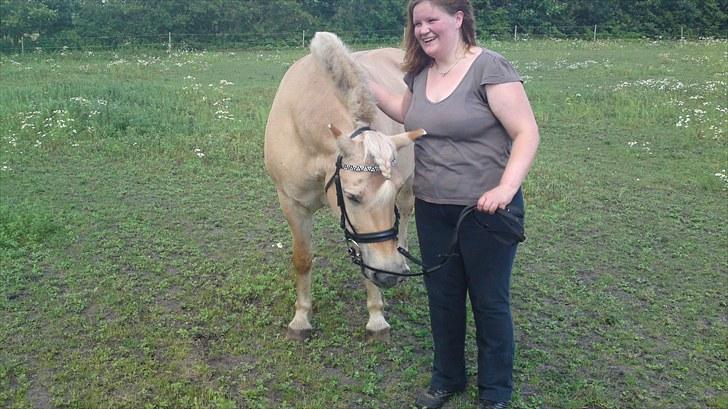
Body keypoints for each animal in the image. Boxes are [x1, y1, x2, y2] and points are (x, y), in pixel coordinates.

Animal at [264, 31, 424, 340]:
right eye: (352, 197)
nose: (389, 275)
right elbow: (303, 259)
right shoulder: (291, 202)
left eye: (391, 192)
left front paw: (377, 318)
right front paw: (301, 319)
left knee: (407, 214)